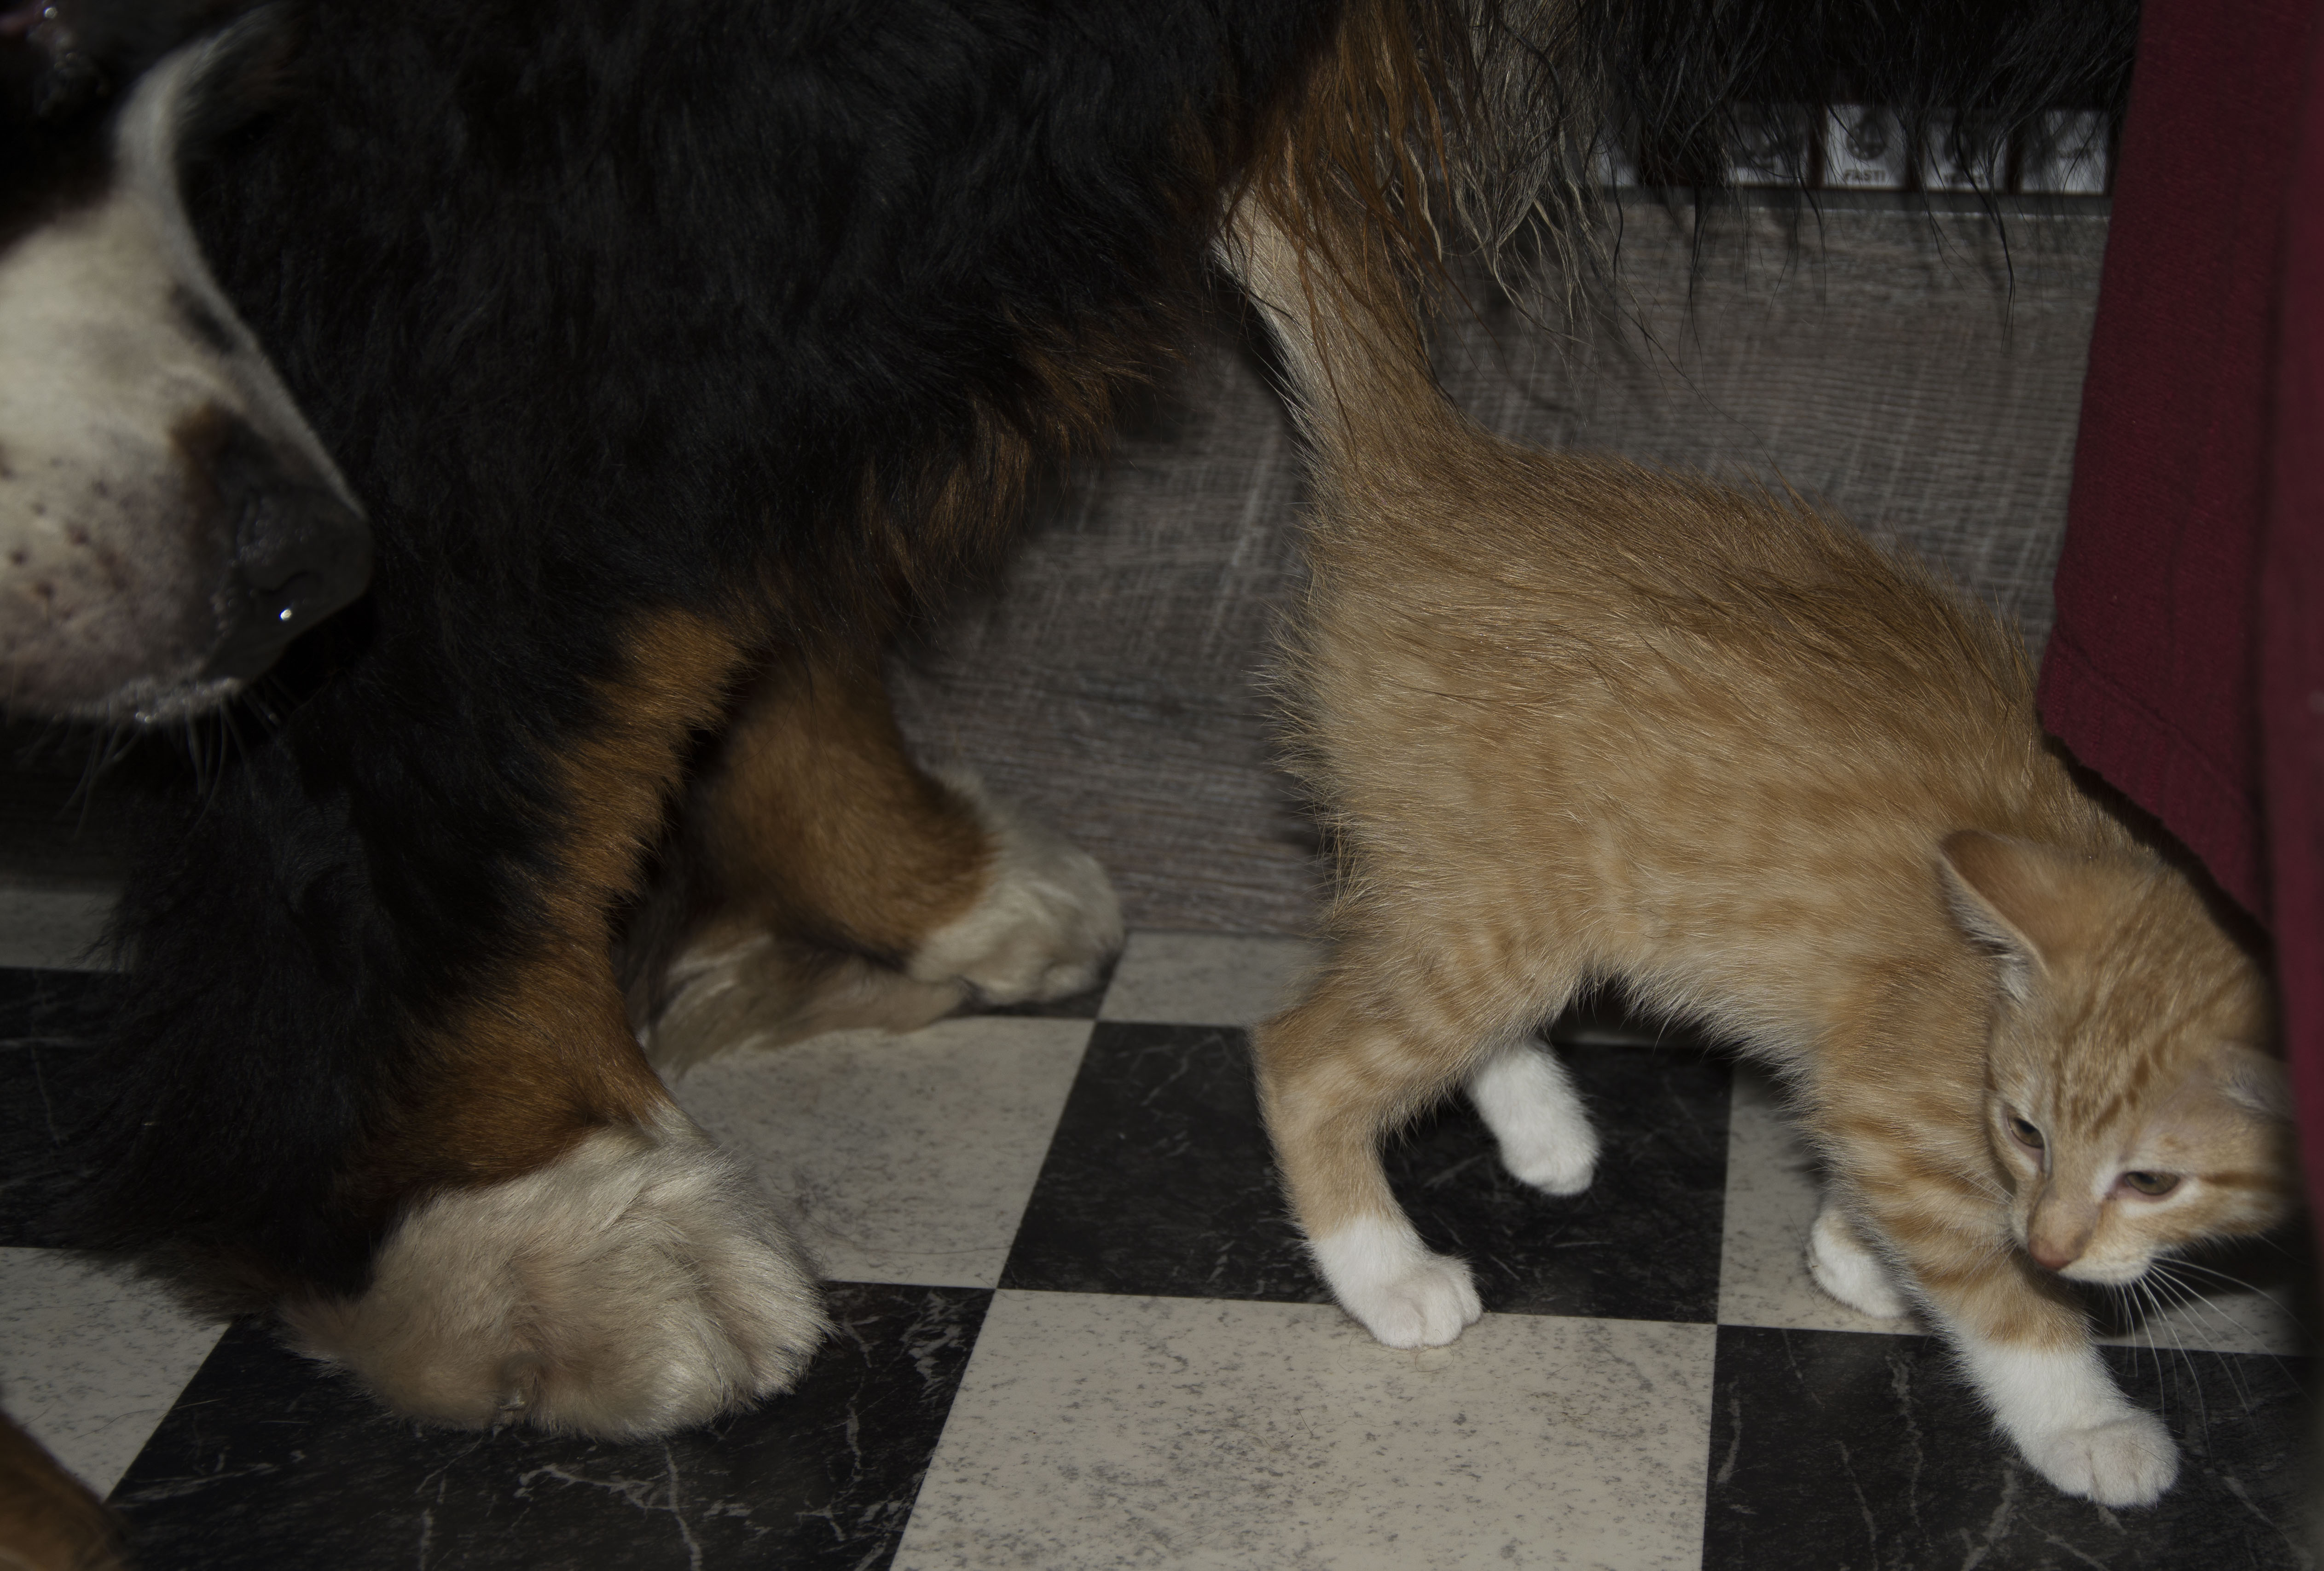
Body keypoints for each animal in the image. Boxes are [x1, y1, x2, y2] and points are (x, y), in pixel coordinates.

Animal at [1219, 200, 2299, 1508]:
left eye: (2151, 1179)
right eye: (2031, 1130)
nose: (2054, 1236)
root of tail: (1437, 466)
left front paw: (1851, 1249)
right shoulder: (1890, 1091)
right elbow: (1989, 1287)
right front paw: (2084, 1417)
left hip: (1474, 886)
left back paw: (1542, 1127)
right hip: (1503, 909)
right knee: (1306, 1059)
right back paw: (1387, 1271)